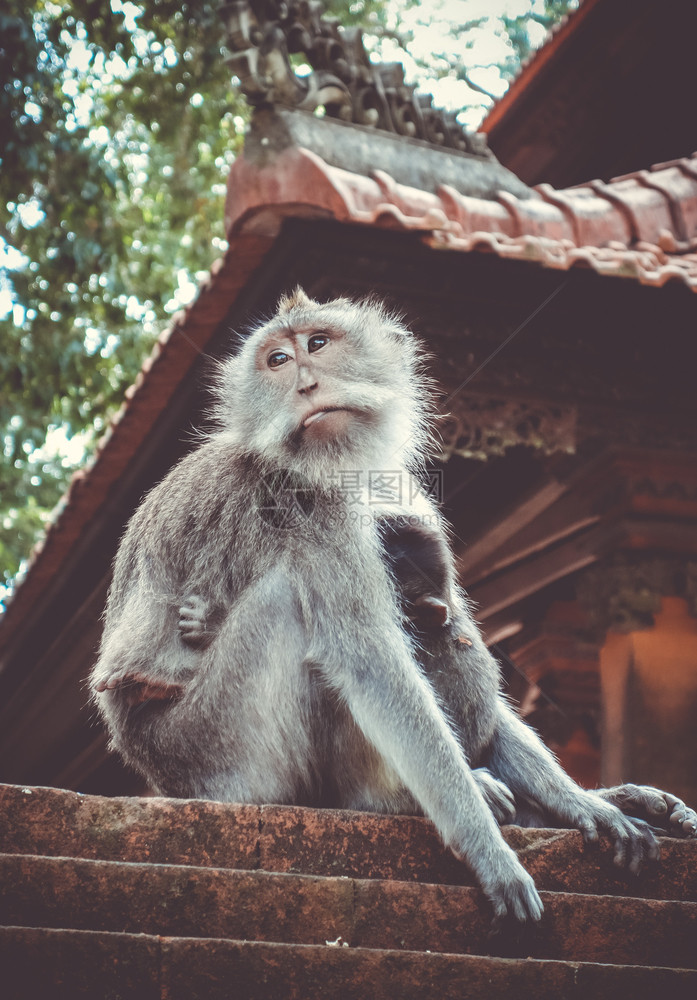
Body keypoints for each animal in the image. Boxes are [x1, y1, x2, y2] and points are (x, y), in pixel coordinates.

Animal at [89, 290, 692, 920]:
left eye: (318, 344)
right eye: (277, 360)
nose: (305, 382)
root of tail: (155, 772)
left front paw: (582, 803)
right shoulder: (314, 509)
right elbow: (371, 665)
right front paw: (490, 852)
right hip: (216, 753)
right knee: (294, 608)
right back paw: (383, 800)